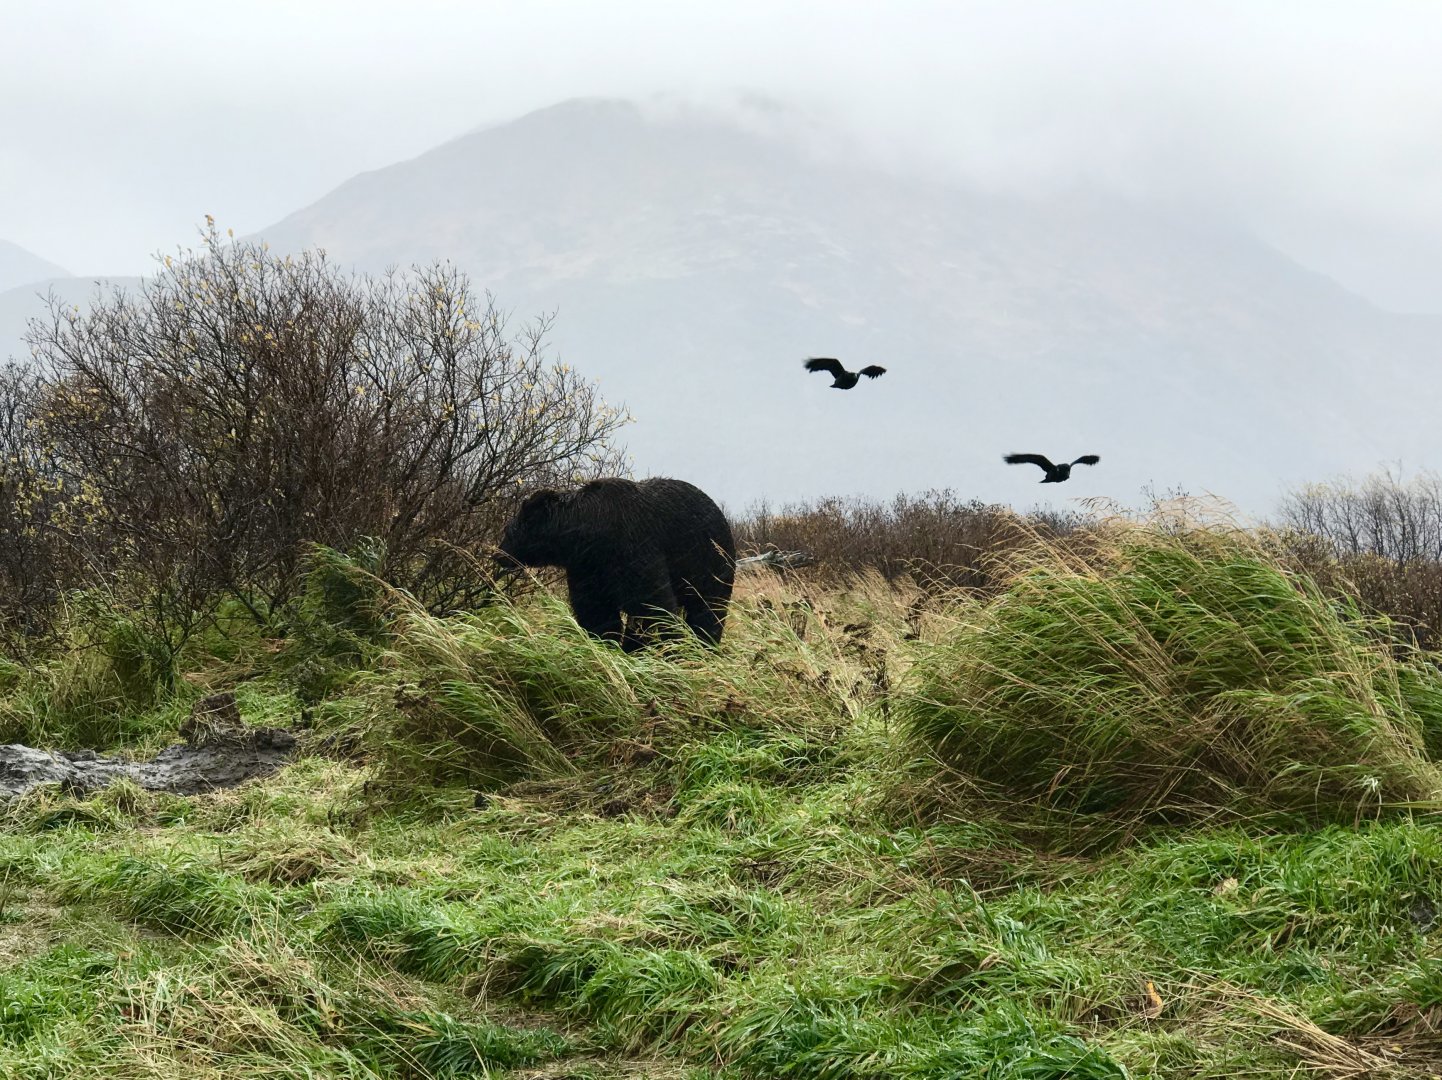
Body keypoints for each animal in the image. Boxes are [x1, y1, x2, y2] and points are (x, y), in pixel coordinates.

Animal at [496, 477, 736, 652]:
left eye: (508, 531)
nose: (498, 554)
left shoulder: (632, 547)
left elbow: (653, 606)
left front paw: (668, 648)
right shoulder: (587, 568)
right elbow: (596, 610)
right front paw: (607, 642)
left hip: (710, 563)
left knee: (708, 608)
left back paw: (706, 645)